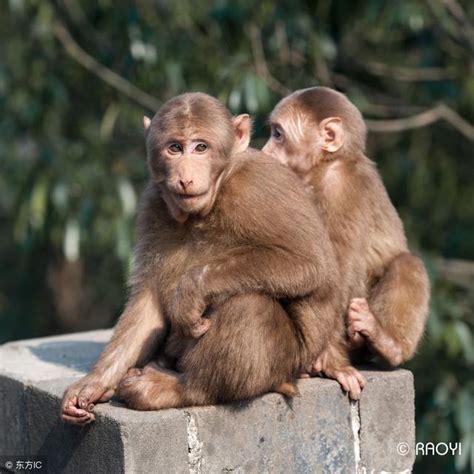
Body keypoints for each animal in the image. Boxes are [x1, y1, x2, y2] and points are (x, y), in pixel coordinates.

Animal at [61, 91, 340, 422]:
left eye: (201, 147)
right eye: (175, 148)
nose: (185, 176)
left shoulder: (259, 186)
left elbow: (309, 264)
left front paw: (191, 291)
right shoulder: (153, 204)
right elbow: (149, 301)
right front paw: (94, 383)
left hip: (286, 364)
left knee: (247, 304)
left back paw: (182, 388)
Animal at [262, 85, 430, 382]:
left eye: (278, 135)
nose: (265, 149)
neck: (323, 166)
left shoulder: (341, 185)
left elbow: (336, 272)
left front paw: (329, 360)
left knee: (406, 263)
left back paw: (387, 343)